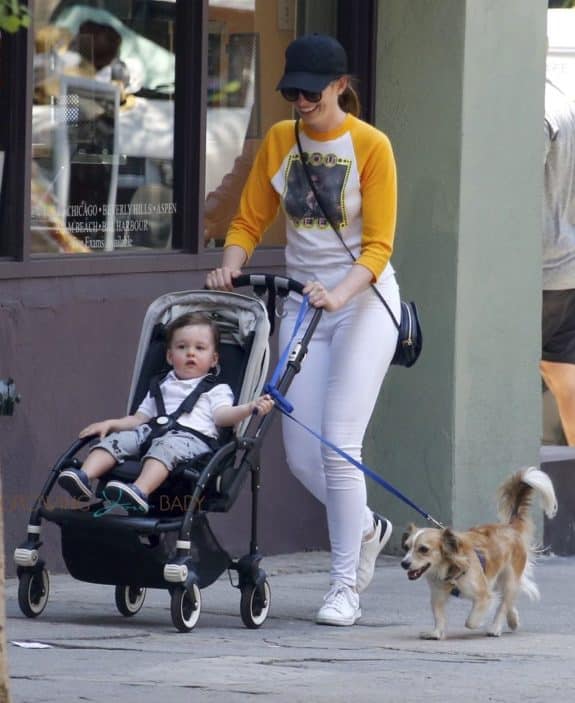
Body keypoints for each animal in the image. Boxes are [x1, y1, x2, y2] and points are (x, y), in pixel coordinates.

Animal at [400, 470, 560, 640]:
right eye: (406, 547)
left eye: (423, 549)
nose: (404, 563)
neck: (451, 566)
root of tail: (510, 528)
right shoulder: (438, 595)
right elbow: (439, 615)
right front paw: (436, 632)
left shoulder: (483, 595)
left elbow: (471, 621)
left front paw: (478, 622)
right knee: (508, 602)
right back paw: (513, 619)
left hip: (509, 579)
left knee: (504, 604)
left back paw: (495, 628)